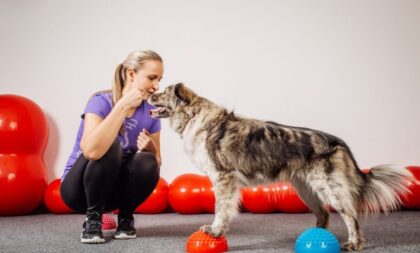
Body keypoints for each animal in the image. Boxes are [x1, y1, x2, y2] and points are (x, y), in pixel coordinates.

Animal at [148, 83, 414, 251]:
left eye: (164, 92)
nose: (150, 94)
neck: (194, 116)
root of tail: (338, 142)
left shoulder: (223, 178)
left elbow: (220, 210)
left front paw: (214, 231)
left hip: (329, 187)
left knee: (350, 215)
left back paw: (354, 243)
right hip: (306, 189)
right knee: (323, 214)